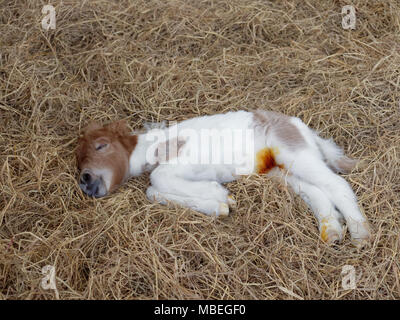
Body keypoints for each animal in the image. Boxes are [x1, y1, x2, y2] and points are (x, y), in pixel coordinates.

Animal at [76, 109, 372, 246]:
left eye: (101, 146)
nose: (85, 180)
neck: (158, 146)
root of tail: (301, 126)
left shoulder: (183, 161)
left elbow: (156, 180)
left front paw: (219, 195)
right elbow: (152, 191)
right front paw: (219, 204)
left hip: (294, 154)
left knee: (337, 184)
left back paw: (361, 234)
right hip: (282, 170)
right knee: (318, 191)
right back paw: (332, 231)